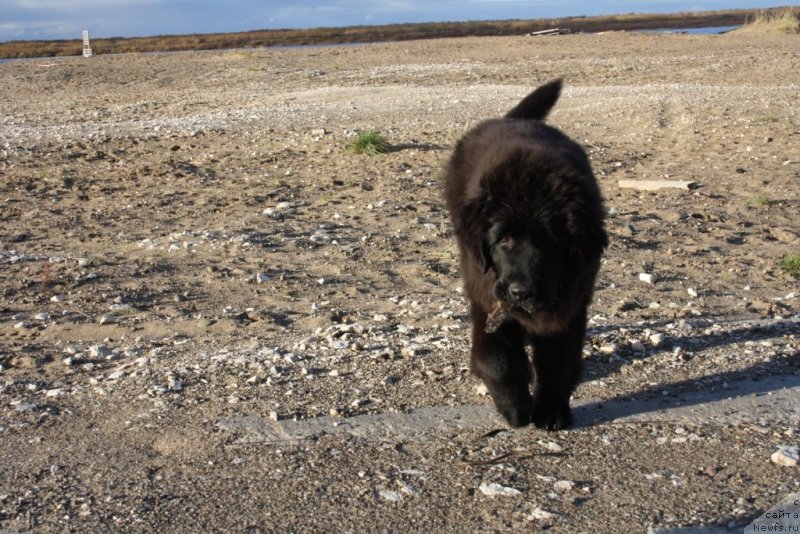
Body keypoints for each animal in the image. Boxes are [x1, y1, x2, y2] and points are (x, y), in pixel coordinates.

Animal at [444, 78, 608, 432]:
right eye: (504, 240)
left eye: (550, 242)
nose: (522, 292)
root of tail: (510, 119)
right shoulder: (488, 300)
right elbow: (496, 359)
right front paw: (515, 408)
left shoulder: (568, 307)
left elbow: (557, 362)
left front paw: (550, 412)